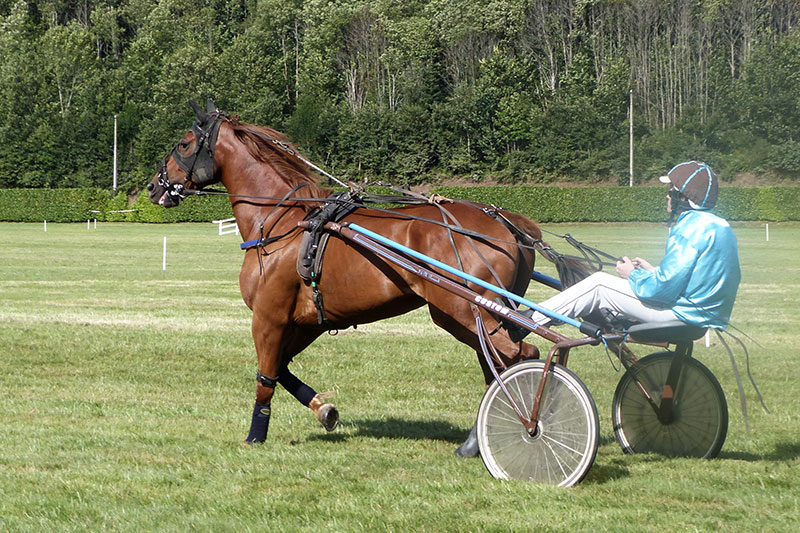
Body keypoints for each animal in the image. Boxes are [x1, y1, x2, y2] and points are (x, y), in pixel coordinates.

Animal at [147, 100, 577, 455]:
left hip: (464, 309)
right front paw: (324, 409)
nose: (154, 187)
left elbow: (266, 376)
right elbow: (283, 369)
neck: (285, 221)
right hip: (472, 316)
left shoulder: (268, 318)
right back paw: (476, 440)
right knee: (497, 366)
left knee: (523, 357)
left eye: (184, 144)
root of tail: (506, 221)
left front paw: (256, 435)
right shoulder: (308, 321)